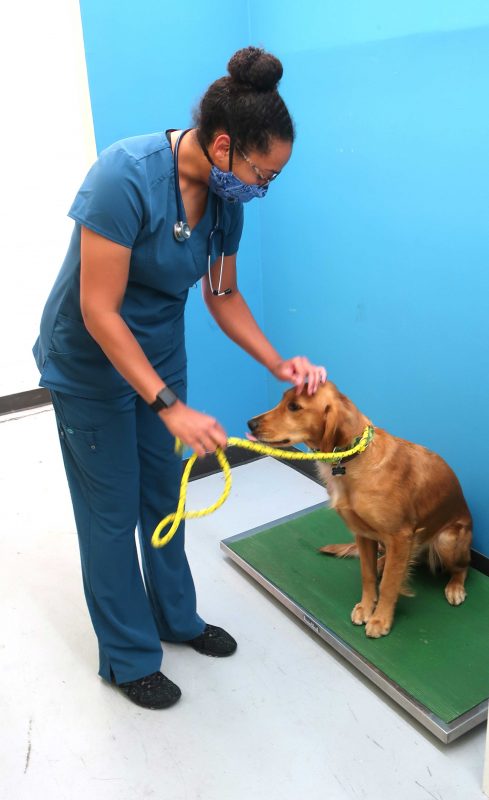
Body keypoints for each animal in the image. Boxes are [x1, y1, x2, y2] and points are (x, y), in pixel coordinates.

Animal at [248, 384, 468, 640]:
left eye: (294, 406)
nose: (250, 423)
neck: (355, 457)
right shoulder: (363, 533)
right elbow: (368, 575)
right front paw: (366, 607)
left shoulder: (401, 536)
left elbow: (389, 584)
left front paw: (380, 619)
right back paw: (383, 563)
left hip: (447, 539)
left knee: (462, 567)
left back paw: (455, 587)